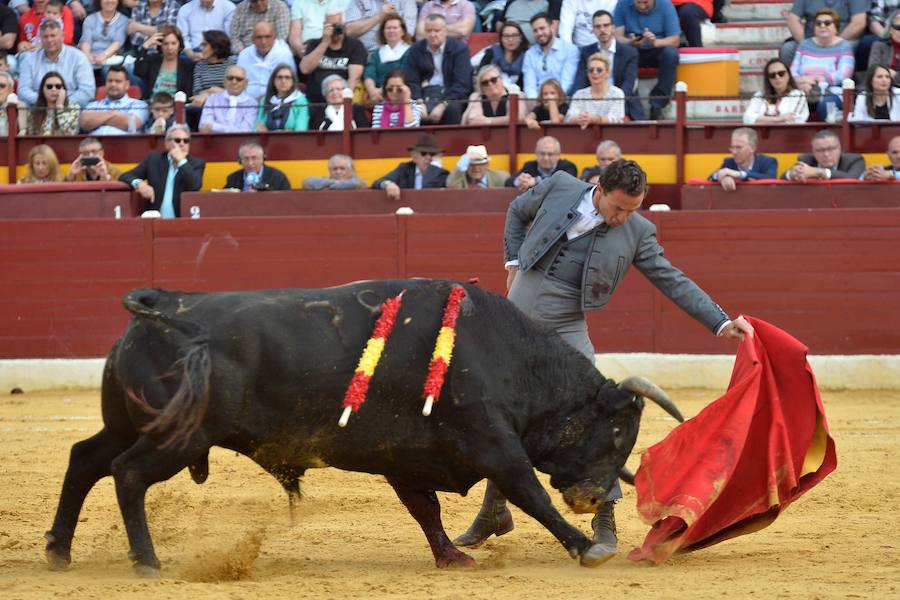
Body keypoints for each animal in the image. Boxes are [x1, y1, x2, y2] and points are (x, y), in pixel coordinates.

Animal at [47, 278, 668, 576]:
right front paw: (588, 548)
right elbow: (531, 494)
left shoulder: (406, 457)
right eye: (618, 434)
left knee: (84, 458)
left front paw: (452, 557)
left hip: (130, 423)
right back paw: (146, 561)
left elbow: (426, 511)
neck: (503, 354)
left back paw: (58, 550)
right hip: (179, 436)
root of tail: (162, 305)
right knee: (127, 474)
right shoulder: (493, 444)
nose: (597, 497)